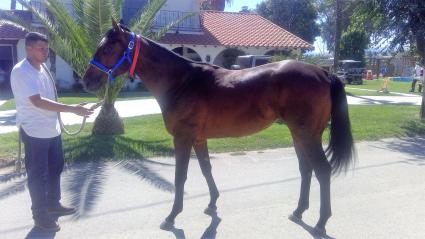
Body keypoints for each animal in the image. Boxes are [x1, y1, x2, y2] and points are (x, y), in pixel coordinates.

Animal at [81, 20, 352, 235]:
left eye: (107, 47)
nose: (86, 81)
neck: (182, 81)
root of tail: (323, 73)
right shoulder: (199, 138)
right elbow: (206, 169)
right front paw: (212, 204)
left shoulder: (183, 138)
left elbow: (180, 177)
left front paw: (172, 216)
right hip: (298, 134)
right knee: (306, 170)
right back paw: (298, 211)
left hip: (308, 135)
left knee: (322, 171)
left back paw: (321, 222)